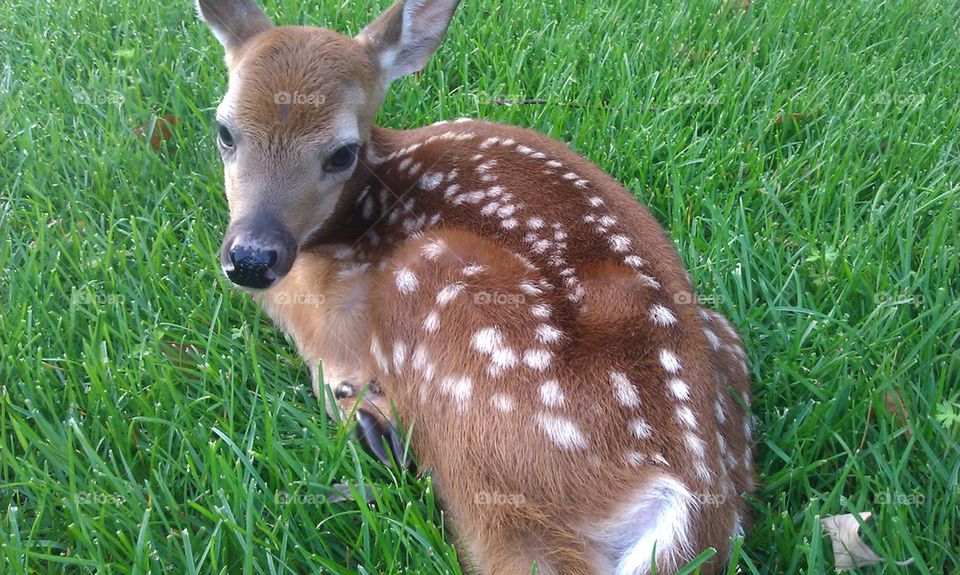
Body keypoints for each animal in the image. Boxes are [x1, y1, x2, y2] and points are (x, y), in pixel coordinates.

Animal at [195, 0, 755, 572]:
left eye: (341, 153)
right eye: (224, 130)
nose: (251, 258)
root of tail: (686, 501)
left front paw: (354, 398)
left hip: (445, 305)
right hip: (722, 340)